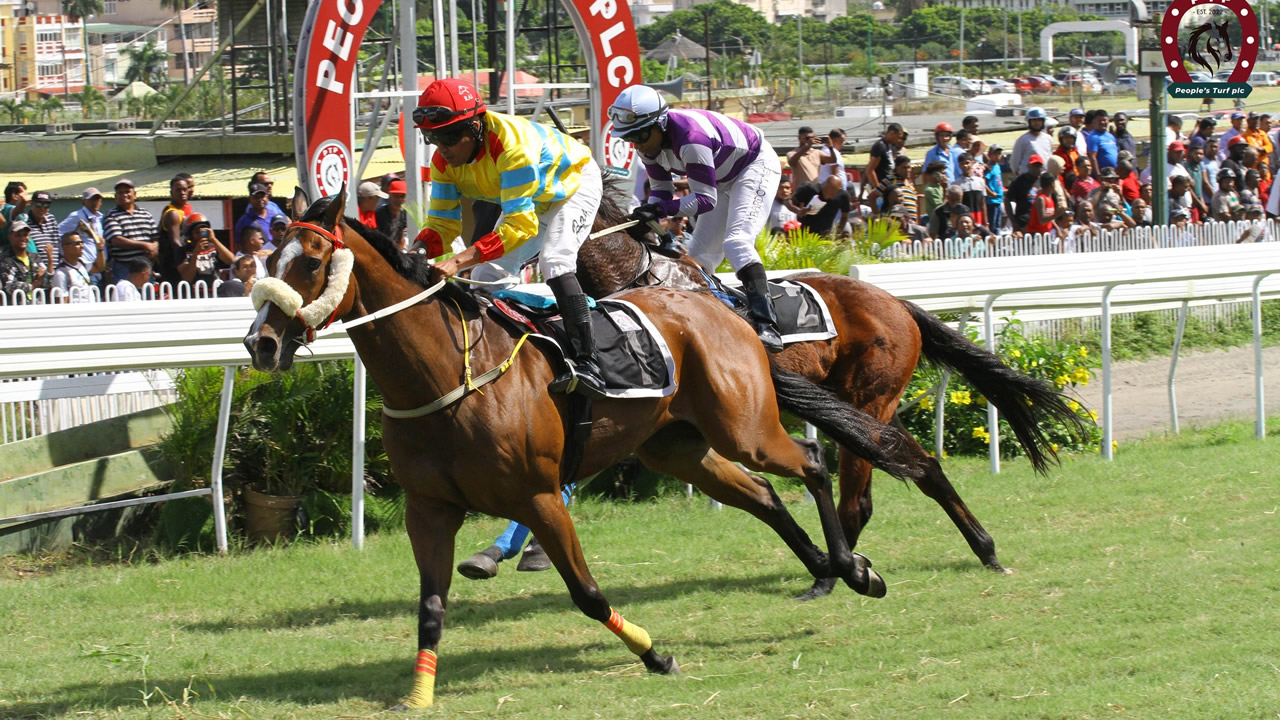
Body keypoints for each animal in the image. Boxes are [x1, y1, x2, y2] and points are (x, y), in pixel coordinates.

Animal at [244, 188, 942, 707]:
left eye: (310, 262)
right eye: (267, 262)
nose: (261, 344)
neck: (446, 374)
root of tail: (725, 311)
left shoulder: (539, 496)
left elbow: (587, 594)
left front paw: (655, 653)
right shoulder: (430, 508)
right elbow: (432, 607)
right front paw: (417, 695)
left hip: (745, 429)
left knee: (814, 465)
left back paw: (852, 567)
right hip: (677, 448)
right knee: (766, 494)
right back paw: (830, 566)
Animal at [581, 193, 1090, 591]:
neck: (639, 276)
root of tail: (898, 303)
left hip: (868, 400)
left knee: (859, 499)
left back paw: (834, 574)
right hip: (872, 406)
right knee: (923, 467)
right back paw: (983, 549)